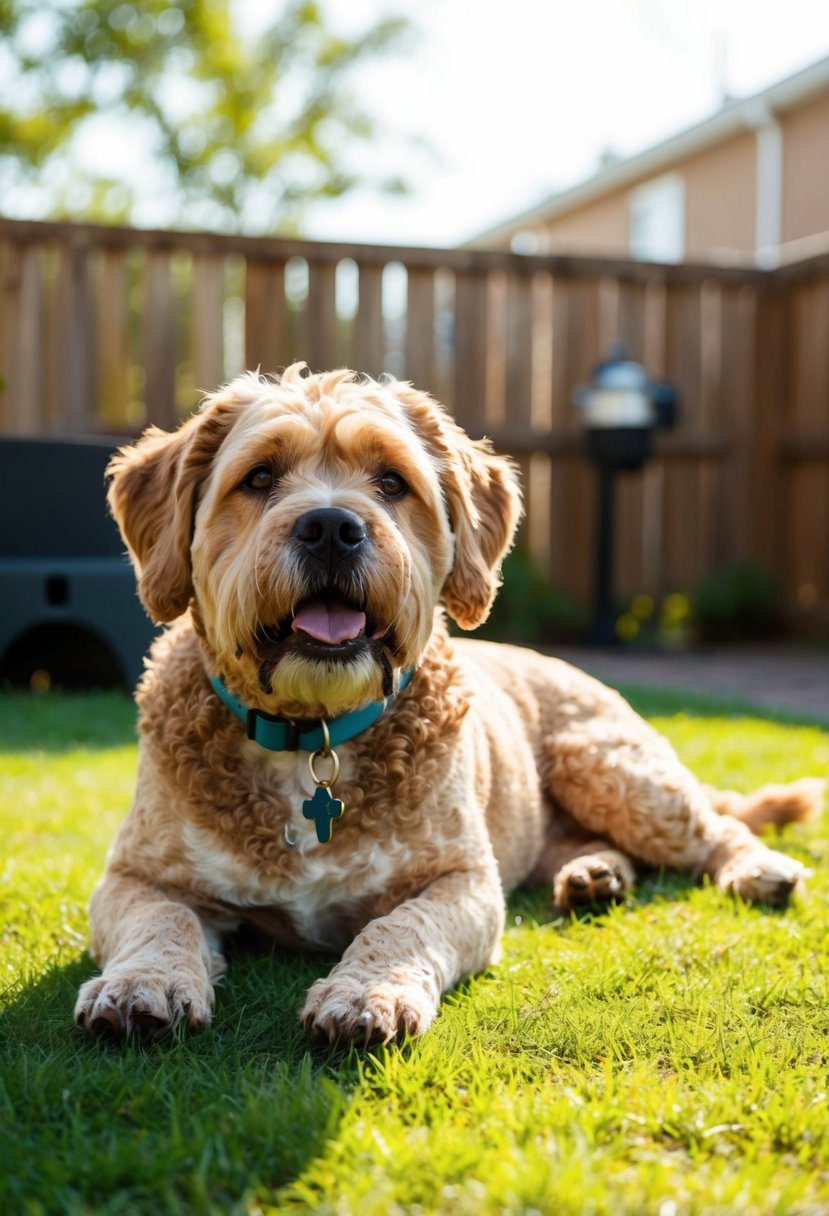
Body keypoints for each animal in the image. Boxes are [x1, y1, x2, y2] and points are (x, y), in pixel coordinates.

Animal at [74, 362, 816, 1045]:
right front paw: (141, 982)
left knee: (715, 831)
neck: (313, 736)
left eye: (391, 482)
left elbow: (400, 924)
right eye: (258, 478)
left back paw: (754, 869)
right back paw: (592, 872)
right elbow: (162, 918)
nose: (330, 525)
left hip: (612, 770)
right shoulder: (136, 877)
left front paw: (366, 992)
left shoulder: (463, 883)